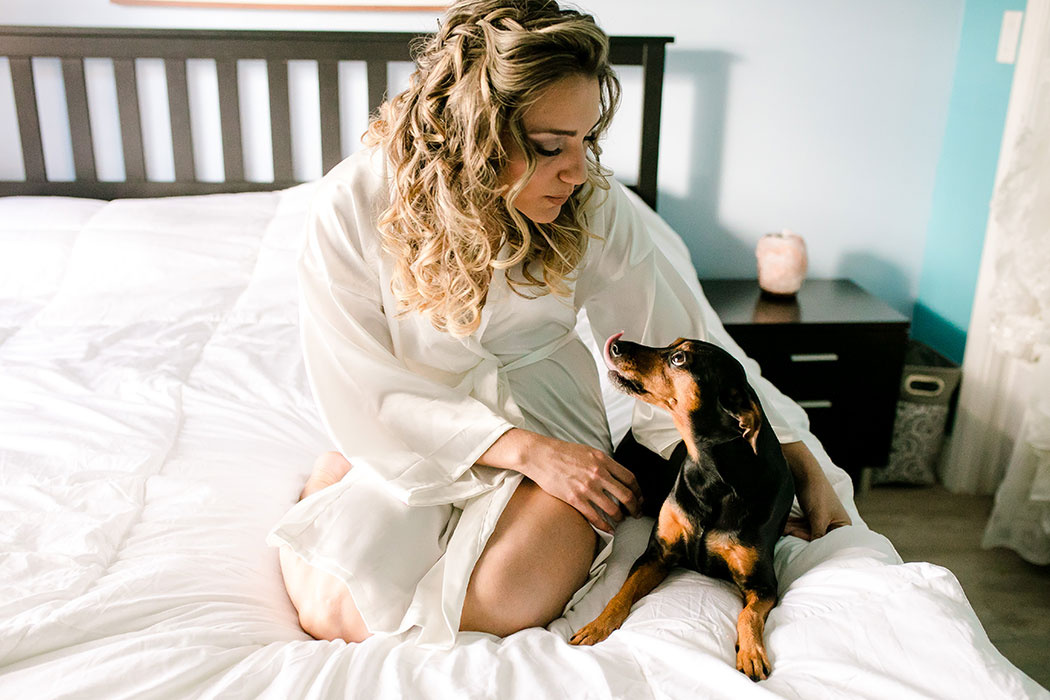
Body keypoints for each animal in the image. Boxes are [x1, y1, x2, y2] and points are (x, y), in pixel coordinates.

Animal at [571, 333, 789, 680]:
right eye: (674, 345)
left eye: (679, 359)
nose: (616, 345)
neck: (712, 477)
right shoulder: (656, 555)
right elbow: (619, 596)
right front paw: (596, 626)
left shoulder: (764, 584)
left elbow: (749, 615)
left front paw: (752, 653)